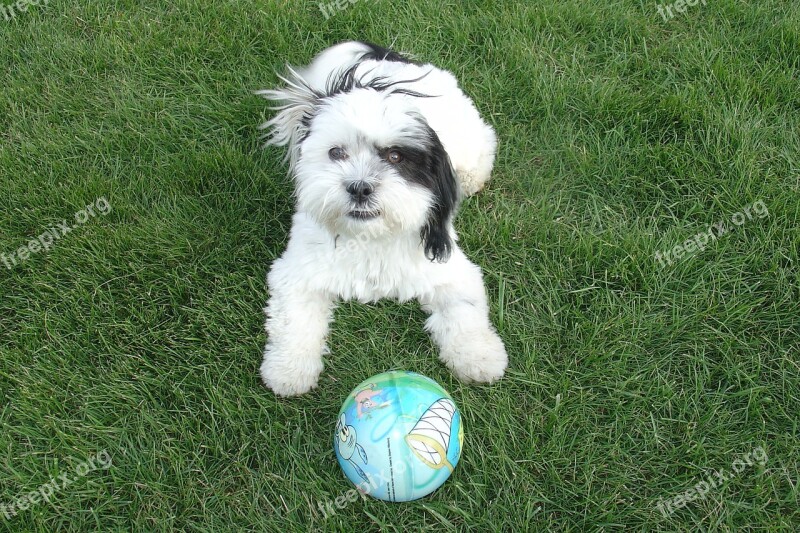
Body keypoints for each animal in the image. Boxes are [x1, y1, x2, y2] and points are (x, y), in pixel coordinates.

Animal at [256, 40, 506, 394]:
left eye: (396, 156)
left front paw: (480, 357)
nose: (359, 188)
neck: (371, 236)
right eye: (336, 153)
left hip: (468, 135)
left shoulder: (450, 269)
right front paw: (288, 370)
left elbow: (464, 309)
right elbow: (293, 319)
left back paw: (470, 179)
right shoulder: (296, 271)